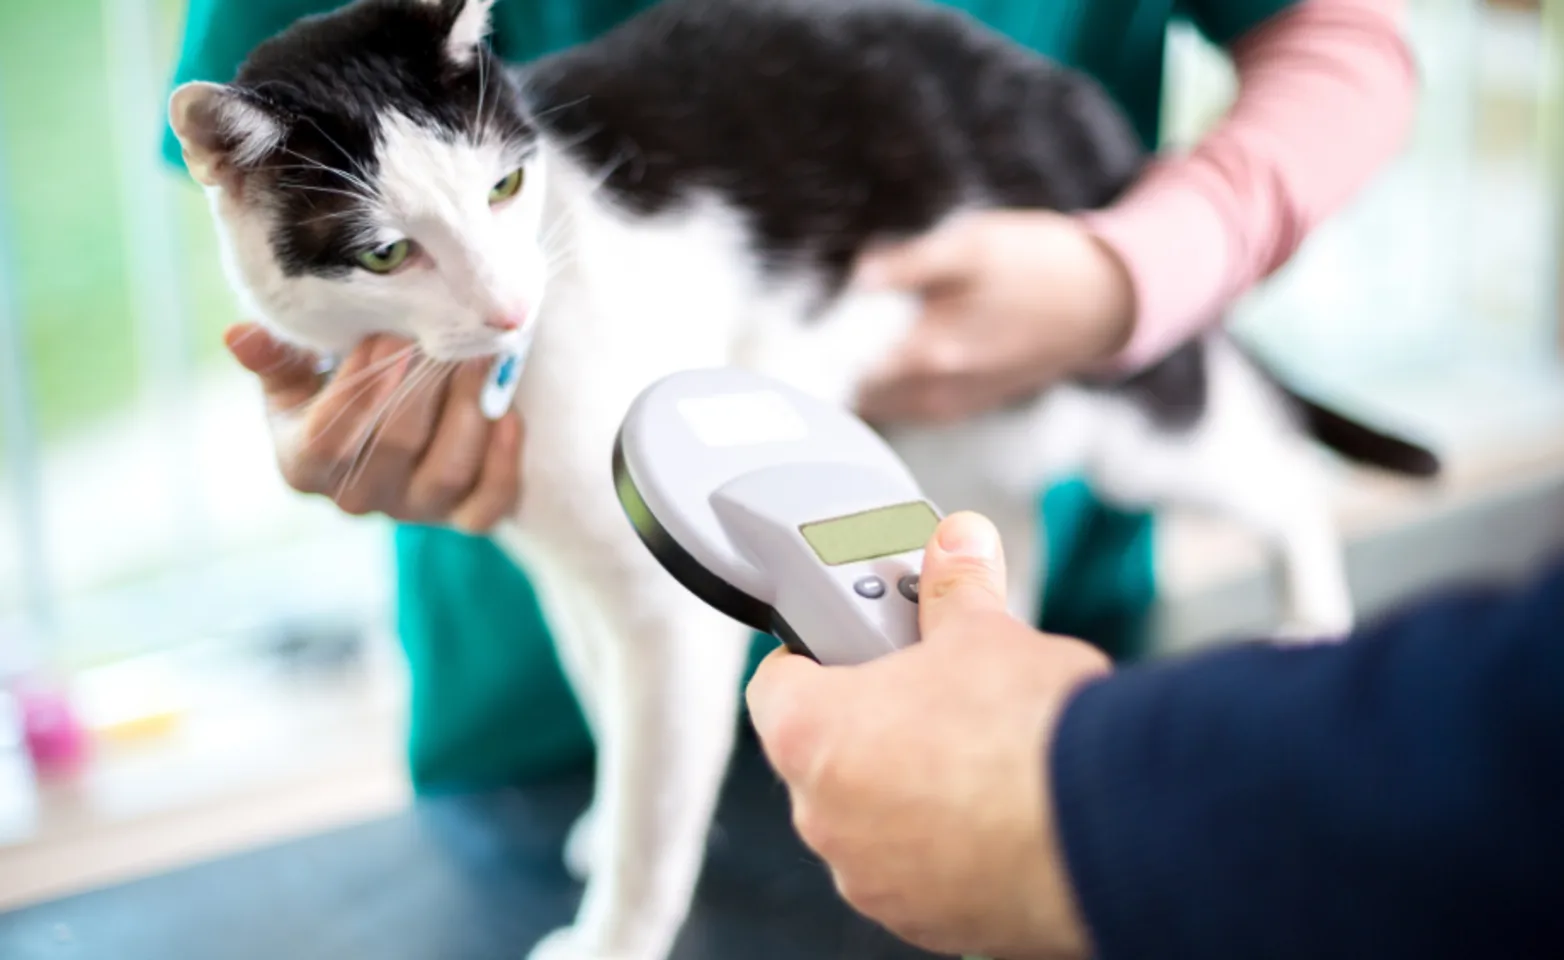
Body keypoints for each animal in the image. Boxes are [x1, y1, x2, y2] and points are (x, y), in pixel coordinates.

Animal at [165, 3, 1432, 956]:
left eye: (503, 193)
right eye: (387, 252)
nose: (510, 306)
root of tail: (1079, 106)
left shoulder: (661, 609)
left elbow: (659, 793)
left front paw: (614, 927)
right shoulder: (568, 567)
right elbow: (604, 702)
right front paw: (600, 816)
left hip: (1117, 396)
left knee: (1273, 467)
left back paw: (1310, 621)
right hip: (953, 424)